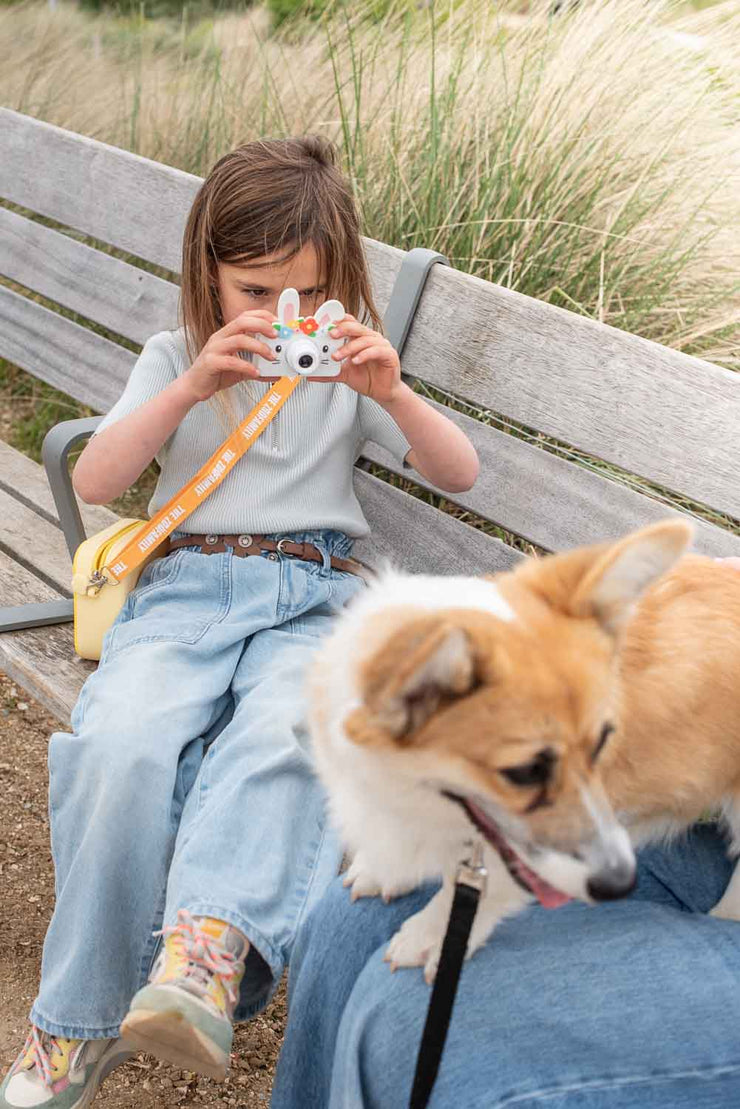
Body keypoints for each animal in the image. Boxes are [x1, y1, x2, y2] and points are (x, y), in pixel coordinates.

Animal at [310, 521, 740, 980]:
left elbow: (471, 892)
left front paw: (430, 937)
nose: (622, 884)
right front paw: (385, 871)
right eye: (525, 772)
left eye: (603, 743)